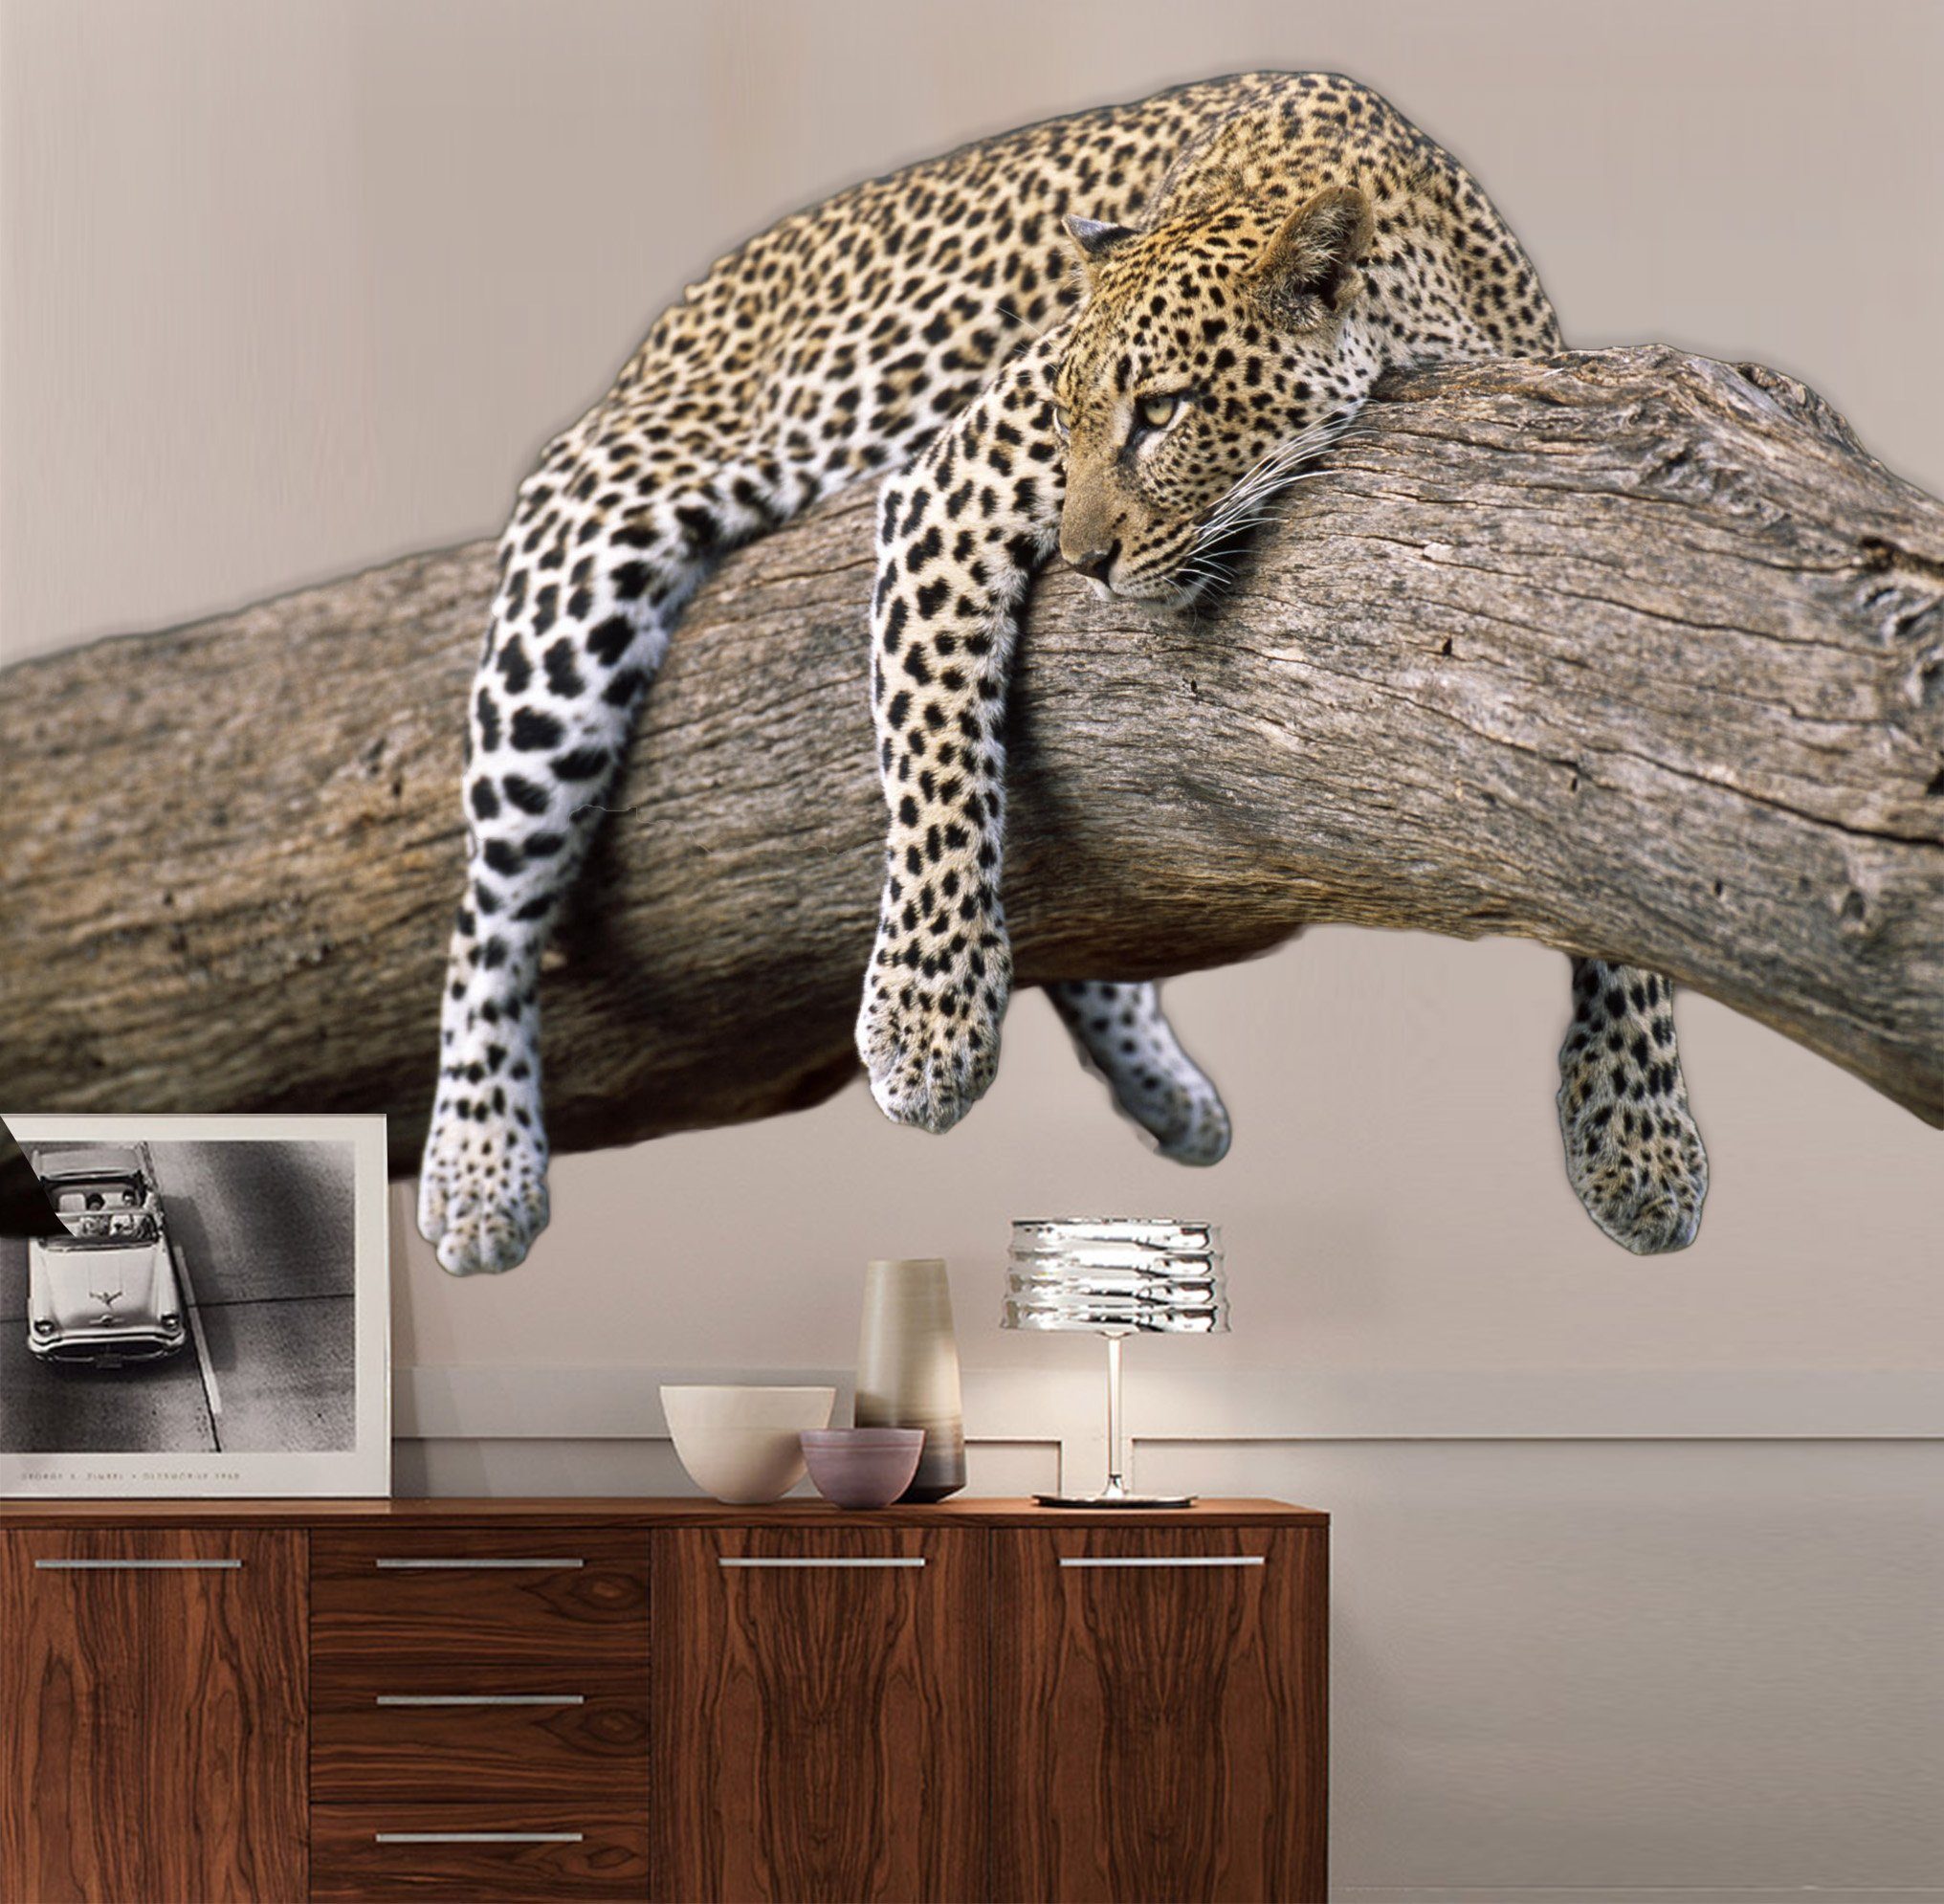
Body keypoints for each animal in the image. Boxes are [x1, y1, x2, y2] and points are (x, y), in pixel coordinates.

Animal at [418, 70, 1708, 1278]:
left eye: (1164, 411)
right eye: (1063, 414)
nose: (1083, 561)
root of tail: (677, 315)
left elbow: (1619, 859)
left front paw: (1637, 1134)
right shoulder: (947, 486)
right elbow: (938, 749)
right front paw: (926, 1021)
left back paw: (1163, 1090)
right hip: (583, 569)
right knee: (490, 910)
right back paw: (478, 1170)